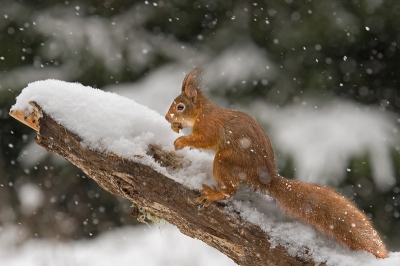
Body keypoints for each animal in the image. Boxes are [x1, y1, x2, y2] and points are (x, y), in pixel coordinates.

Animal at [165, 68, 388, 258]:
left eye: (180, 106)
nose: (168, 118)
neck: (202, 112)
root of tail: (266, 176)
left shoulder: (209, 128)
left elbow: (204, 141)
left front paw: (180, 141)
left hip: (225, 160)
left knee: (230, 190)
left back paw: (213, 194)